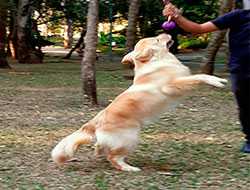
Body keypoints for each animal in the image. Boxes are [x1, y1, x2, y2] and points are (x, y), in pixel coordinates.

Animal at [51, 33, 228, 171]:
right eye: (157, 39)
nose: (166, 32)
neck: (157, 61)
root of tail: (95, 122)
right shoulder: (173, 85)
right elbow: (200, 76)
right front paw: (216, 81)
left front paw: (218, 79)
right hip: (130, 137)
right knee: (113, 158)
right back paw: (129, 168)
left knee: (100, 149)